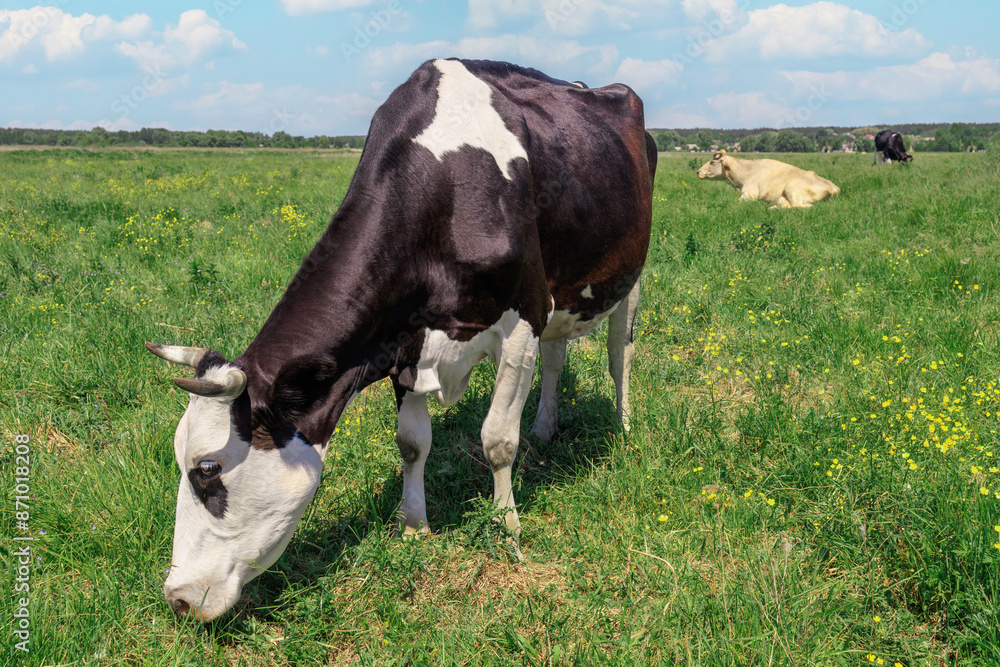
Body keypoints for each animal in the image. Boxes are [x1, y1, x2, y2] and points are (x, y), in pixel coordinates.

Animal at [146, 58, 657, 622]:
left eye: (206, 469)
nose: (177, 597)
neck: (444, 186)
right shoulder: (403, 341)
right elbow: (412, 443)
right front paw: (413, 526)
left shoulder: (524, 316)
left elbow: (497, 440)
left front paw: (507, 530)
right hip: (562, 296)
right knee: (555, 358)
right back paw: (545, 429)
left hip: (630, 275)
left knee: (620, 354)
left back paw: (623, 424)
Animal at [696, 150, 839, 208]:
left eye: (712, 162)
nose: (698, 171)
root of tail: (833, 187)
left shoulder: (749, 194)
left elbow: (734, 203)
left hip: (792, 189)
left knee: (802, 207)